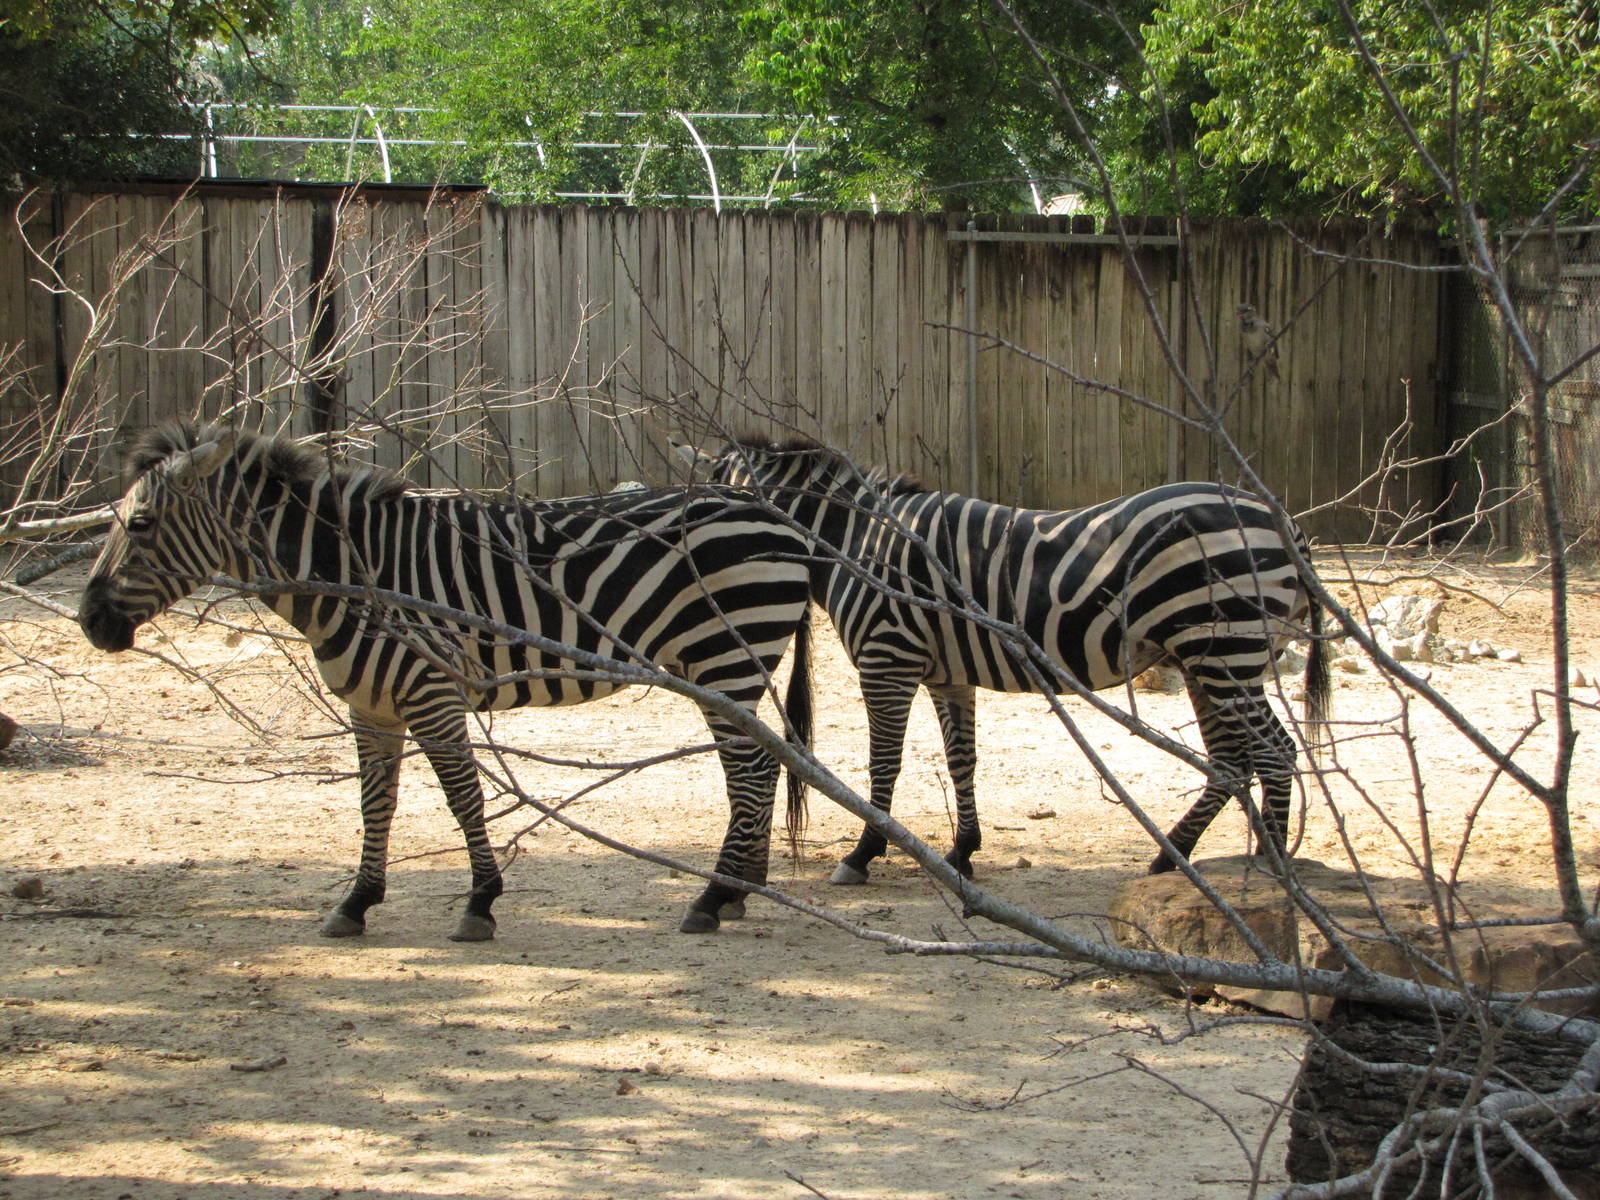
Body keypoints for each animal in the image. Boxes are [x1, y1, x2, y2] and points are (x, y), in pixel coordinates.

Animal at [79, 424, 816, 940]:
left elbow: (464, 799)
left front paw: (480, 903)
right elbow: (376, 805)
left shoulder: (429, 692)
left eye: (139, 524)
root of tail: (778, 518)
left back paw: (713, 897)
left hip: (725, 656)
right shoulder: (372, 706)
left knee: (751, 769)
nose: (90, 623)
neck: (353, 573)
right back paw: (739, 890)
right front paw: (356, 902)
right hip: (727, 667)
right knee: (758, 768)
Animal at [676, 436, 1331, 881]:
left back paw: (1270, 867)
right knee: (1230, 760)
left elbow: (883, 763)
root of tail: (1281, 521)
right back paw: (1171, 857)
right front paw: (963, 850)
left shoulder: (887, 659)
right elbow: (961, 760)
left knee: (1275, 751)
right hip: (1207, 657)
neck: (854, 539)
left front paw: (863, 853)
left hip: (1226, 651)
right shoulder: (946, 673)